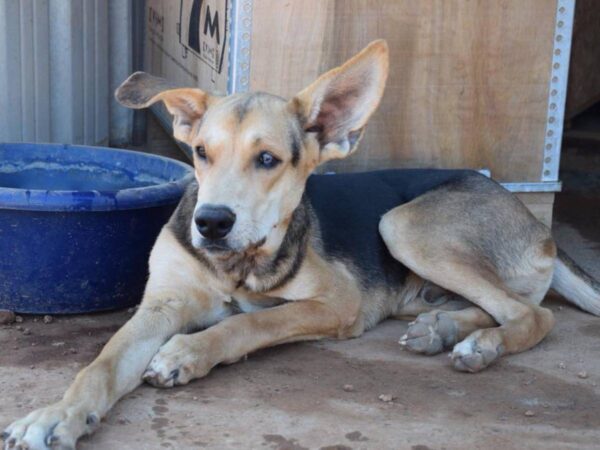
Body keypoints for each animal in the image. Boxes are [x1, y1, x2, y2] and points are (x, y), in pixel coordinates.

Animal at [4, 40, 600, 448]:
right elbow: (101, 364)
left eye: (267, 159)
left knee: (534, 313)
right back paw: (443, 329)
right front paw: (55, 415)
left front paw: (189, 351)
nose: (210, 223)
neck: (236, 265)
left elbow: (250, 323)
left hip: (403, 225)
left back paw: (480, 346)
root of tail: (525, 212)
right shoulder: (162, 303)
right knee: (498, 304)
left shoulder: (337, 302)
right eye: (200, 152)